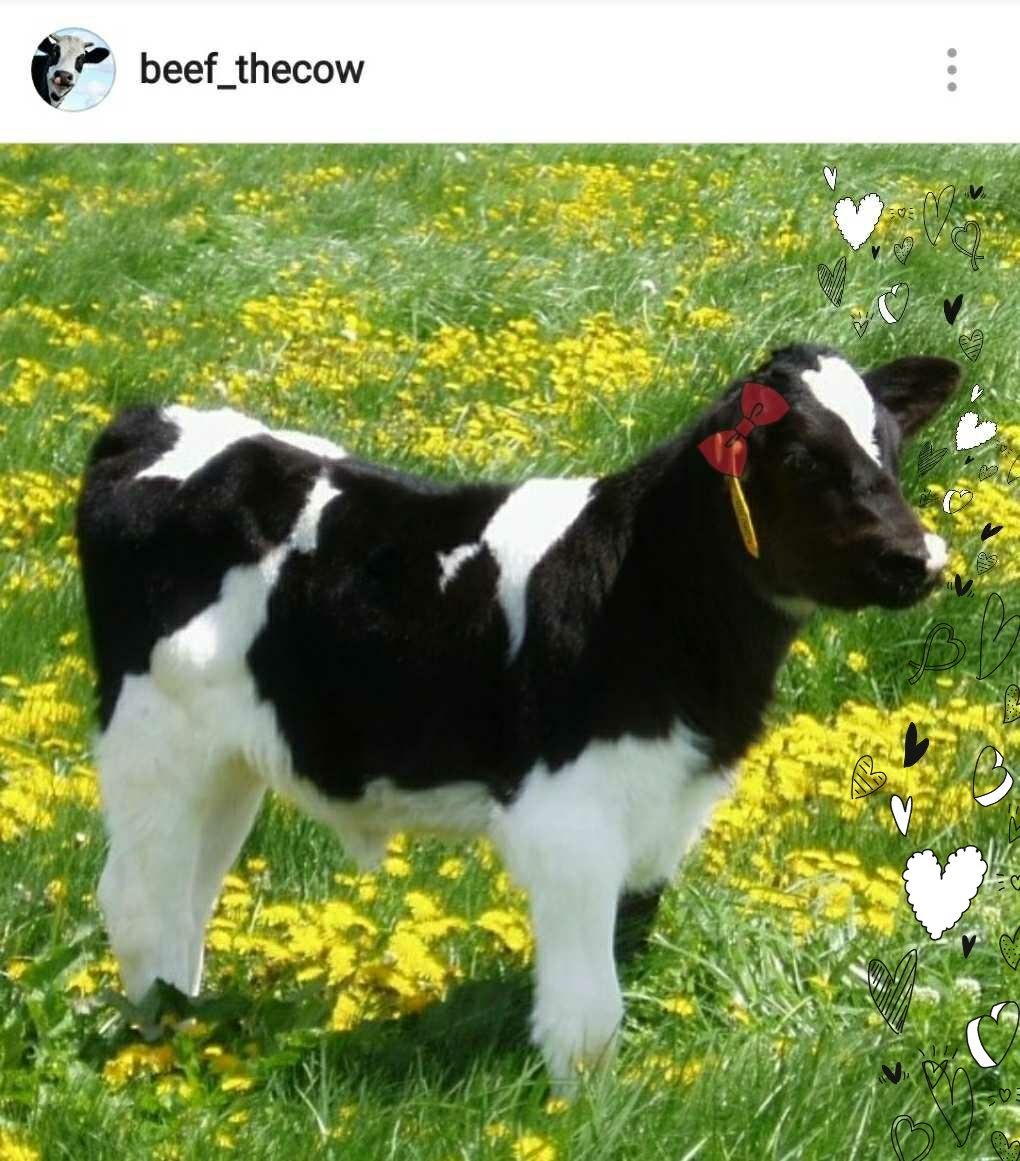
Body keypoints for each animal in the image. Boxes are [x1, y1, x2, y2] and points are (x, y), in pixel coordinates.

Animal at [74, 343, 960, 1090]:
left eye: (890, 447)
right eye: (803, 457)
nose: (920, 558)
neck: (648, 590)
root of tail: (148, 422)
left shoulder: (662, 805)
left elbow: (630, 939)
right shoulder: (566, 819)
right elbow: (591, 1010)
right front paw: (582, 1109)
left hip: (226, 761)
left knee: (189, 896)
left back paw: (191, 1022)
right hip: (153, 738)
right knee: (136, 898)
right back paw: (159, 1041)